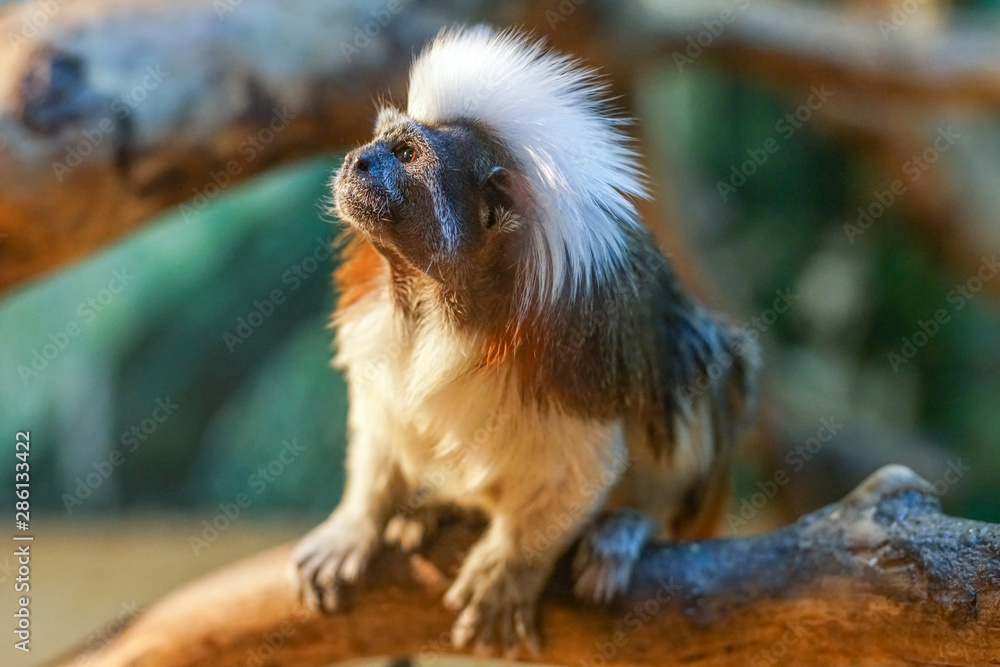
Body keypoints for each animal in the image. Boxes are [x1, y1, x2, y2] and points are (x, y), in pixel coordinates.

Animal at [289, 26, 759, 656]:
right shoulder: (378, 332)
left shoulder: (573, 362)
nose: (358, 159)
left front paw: (507, 570)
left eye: (406, 155)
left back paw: (627, 526)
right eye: (379, 141)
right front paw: (357, 522)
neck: (440, 304)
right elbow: (384, 424)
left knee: (693, 362)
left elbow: (583, 473)